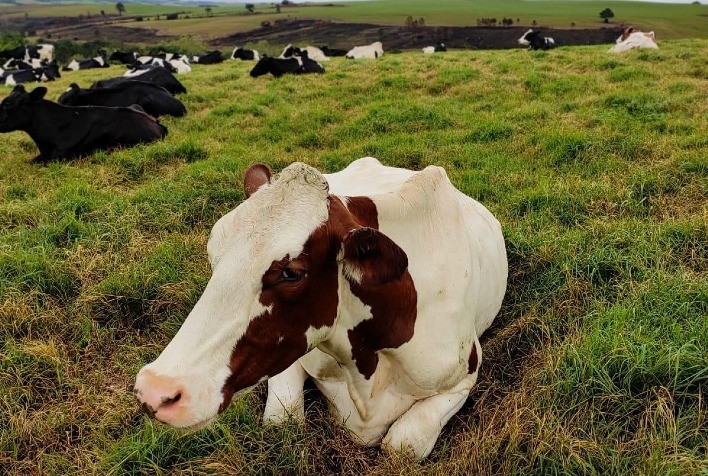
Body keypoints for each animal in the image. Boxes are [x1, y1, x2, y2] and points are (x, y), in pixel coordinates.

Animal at [134, 158, 508, 460]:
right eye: (213, 251)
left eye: (291, 273)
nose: (156, 390)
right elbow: (281, 420)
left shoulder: (465, 374)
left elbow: (403, 445)